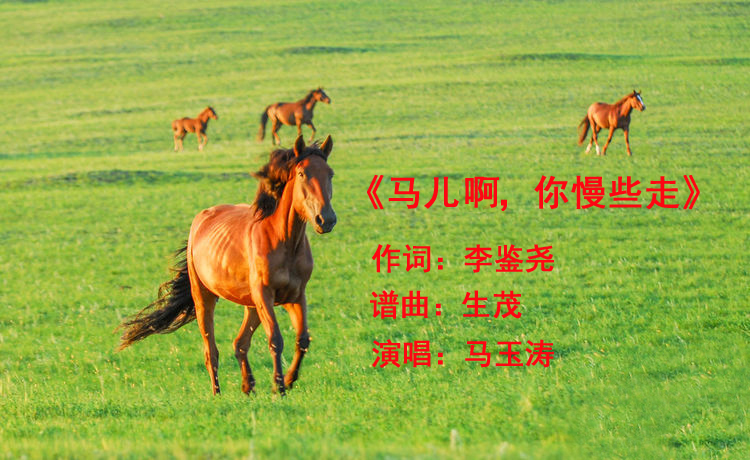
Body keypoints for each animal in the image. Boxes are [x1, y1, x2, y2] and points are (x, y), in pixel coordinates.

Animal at [118, 135, 336, 396]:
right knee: (210, 350)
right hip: (205, 297)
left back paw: (248, 387)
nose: (326, 219)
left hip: (251, 304)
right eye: (302, 173)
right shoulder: (265, 296)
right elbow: (275, 339)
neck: (282, 240)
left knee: (240, 343)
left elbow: (302, 339)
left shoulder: (295, 295)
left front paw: (289, 380)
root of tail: (200, 219)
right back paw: (217, 392)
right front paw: (280, 387)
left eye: (330, 174)